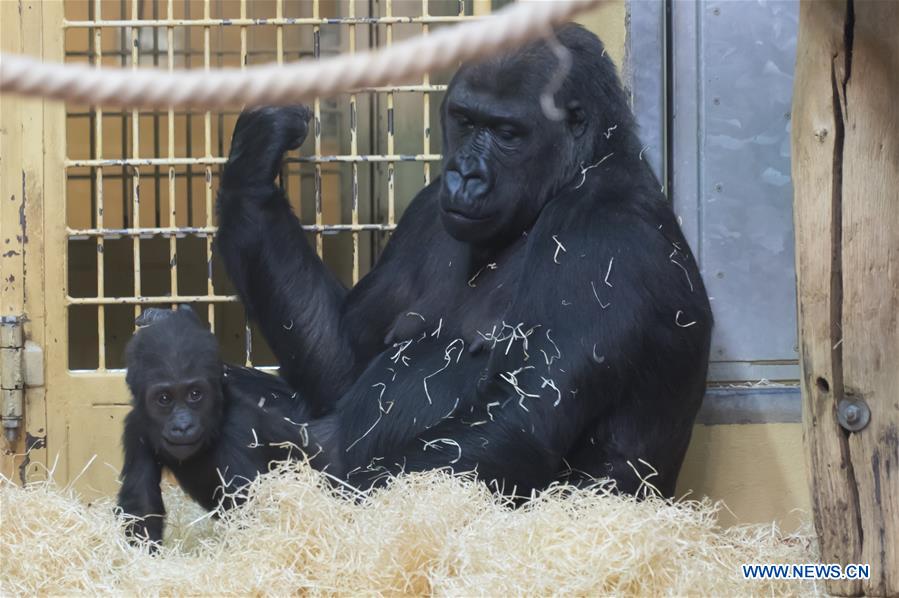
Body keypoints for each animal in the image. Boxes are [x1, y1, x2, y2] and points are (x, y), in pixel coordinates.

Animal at [118, 308, 332, 548]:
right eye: (164, 399)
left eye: (195, 394)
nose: (183, 426)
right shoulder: (136, 428)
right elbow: (142, 505)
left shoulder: (238, 430)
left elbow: (247, 510)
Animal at [216, 25, 712, 496]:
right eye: (465, 120)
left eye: (507, 133)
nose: (465, 175)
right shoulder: (423, 211)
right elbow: (340, 363)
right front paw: (256, 155)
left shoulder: (603, 237)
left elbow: (518, 421)